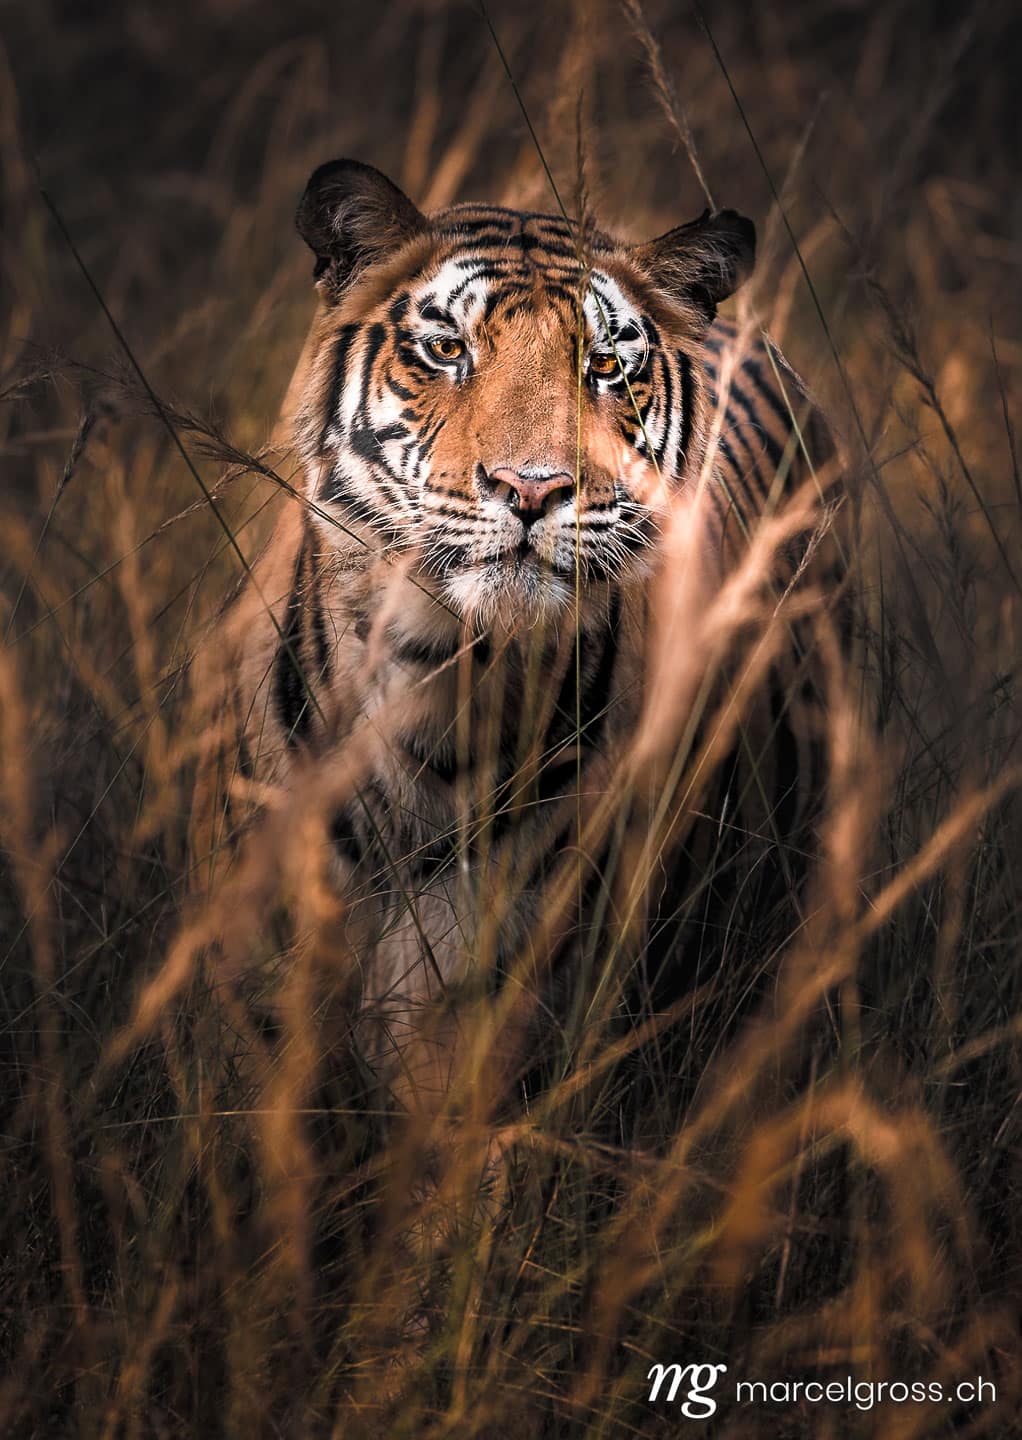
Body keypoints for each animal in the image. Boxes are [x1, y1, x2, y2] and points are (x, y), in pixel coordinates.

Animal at [190, 157, 844, 1159]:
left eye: (604, 366)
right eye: (447, 350)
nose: (533, 489)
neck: (438, 684)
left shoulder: (484, 1043)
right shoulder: (263, 1025)